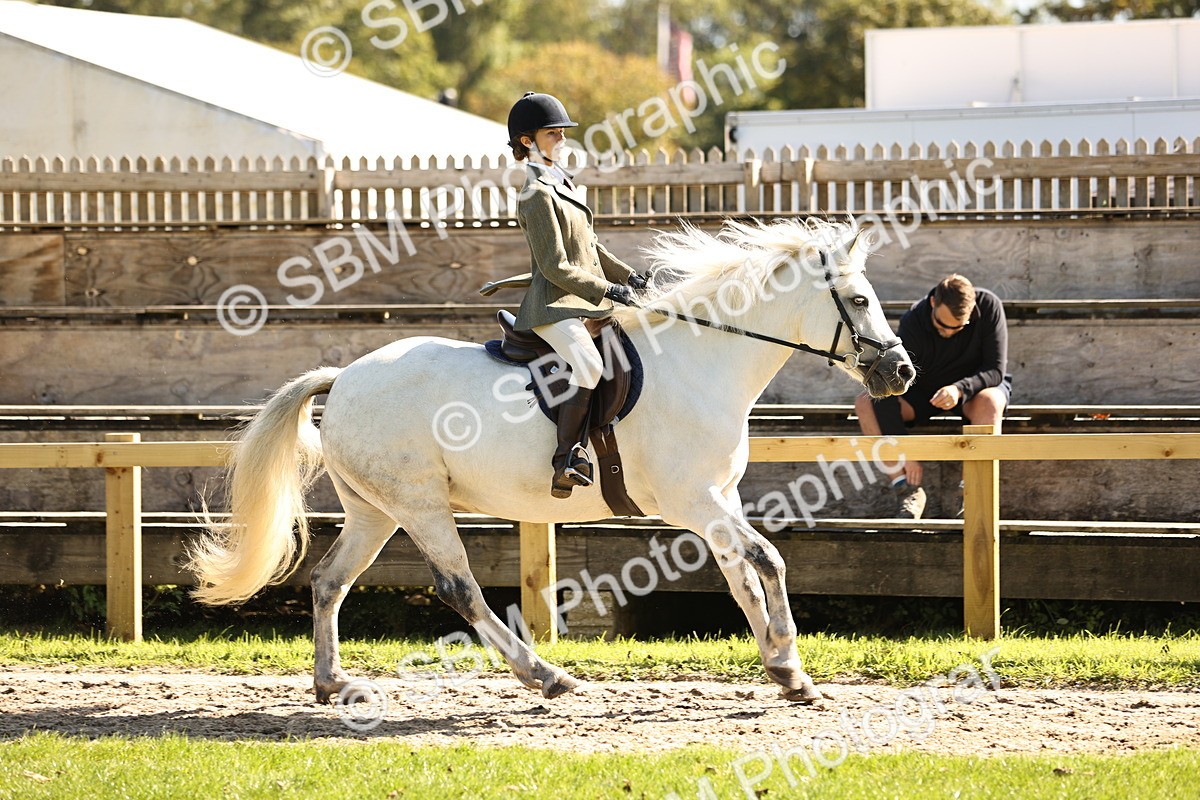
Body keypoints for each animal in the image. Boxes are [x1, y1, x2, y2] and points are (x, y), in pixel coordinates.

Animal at [188, 217, 916, 705]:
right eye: (857, 300)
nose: (902, 372)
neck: (701, 360)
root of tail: (342, 378)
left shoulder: (718, 500)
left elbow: (743, 577)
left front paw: (783, 670)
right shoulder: (693, 501)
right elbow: (769, 560)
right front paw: (791, 664)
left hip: (376, 511)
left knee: (330, 581)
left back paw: (333, 683)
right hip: (420, 505)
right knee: (460, 590)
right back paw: (545, 675)